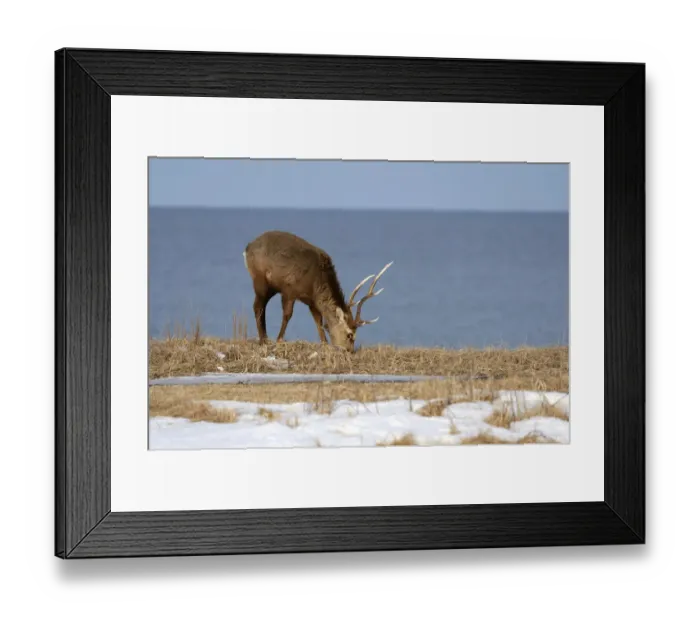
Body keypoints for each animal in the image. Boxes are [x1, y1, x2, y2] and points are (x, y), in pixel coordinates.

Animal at [243, 230, 392, 353]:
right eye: (350, 334)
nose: (349, 351)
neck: (315, 285)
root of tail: (247, 248)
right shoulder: (289, 289)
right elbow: (287, 315)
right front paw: (279, 340)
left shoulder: (311, 301)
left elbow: (318, 320)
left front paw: (325, 343)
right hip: (260, 279)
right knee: (258, 306)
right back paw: (263, 340)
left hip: (271, 287)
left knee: (260, 305)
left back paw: (264, 338)